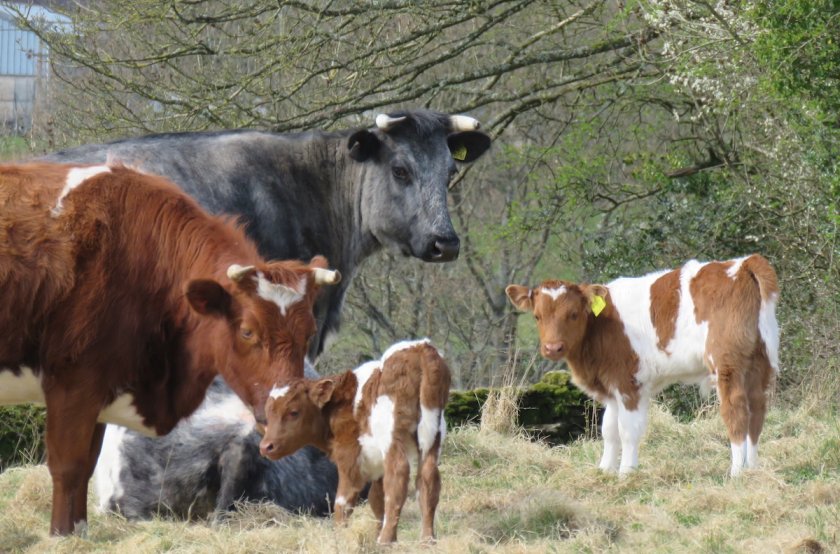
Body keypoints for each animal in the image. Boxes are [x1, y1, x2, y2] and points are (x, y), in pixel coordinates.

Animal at [258, 336, 450, 544]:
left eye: (293, 412)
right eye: (268, 413)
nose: (266, 446)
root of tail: (419, 347)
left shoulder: (349, 459)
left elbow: (342, 503)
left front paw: (341, 538)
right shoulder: (376, 466)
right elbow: (376, 500)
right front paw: (375, 535)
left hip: (391, 435)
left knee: (397, 478)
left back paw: (385, 540)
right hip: (434, 434)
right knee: (428, 479)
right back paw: (427, 539)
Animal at [506, 254, 780, 474]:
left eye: (573, 314)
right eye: (537, 316)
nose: (553, 348)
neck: (600, 325)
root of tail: (743, 263)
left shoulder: (629, 382)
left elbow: (628, 430)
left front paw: (626, 472)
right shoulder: (611, 385)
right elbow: (609, 429)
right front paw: (604, 471)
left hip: (727, 364)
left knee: (736, 412)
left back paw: (736, 473)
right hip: (761, 360)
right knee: (757, 411)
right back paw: (753, 469)